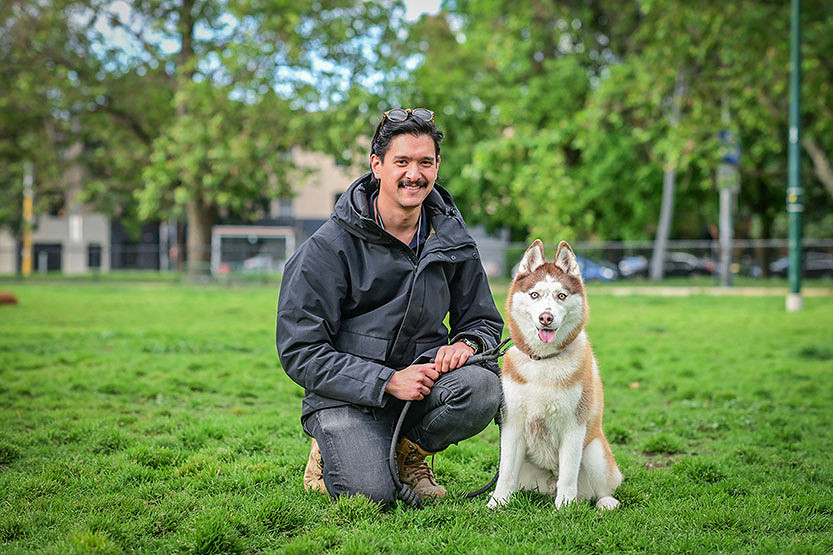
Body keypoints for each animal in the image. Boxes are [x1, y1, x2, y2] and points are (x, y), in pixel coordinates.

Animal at [488, 241, 616, 510]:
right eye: (534, 295)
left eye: (561, 296)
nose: (546, 317)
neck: (543, 362)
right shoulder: (512, 424)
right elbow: (505, 472)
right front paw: (497, 502)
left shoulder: (573, 426)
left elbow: (567, 475)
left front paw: (565, 508)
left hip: (594, 452)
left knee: (601, 488)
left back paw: (605, 502)